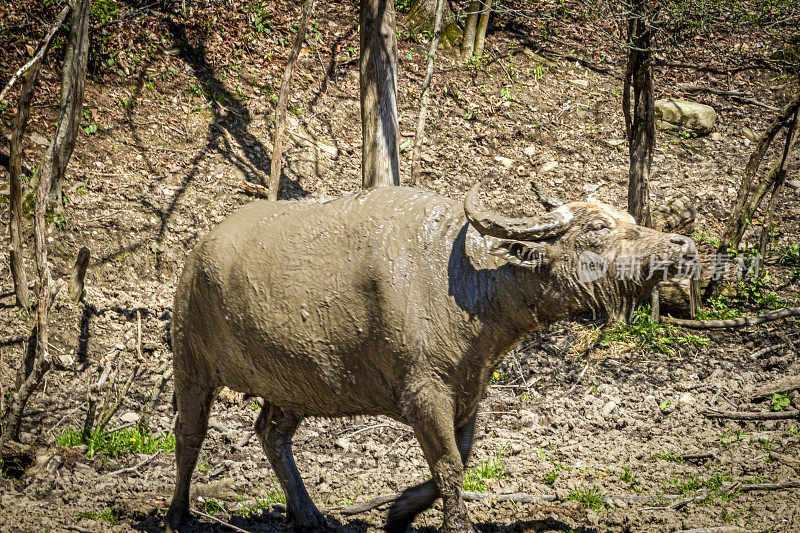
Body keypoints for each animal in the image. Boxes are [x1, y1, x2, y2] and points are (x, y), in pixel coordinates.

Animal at [164, 184, 692, 532]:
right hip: (192, 368)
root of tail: (197, 251)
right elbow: (450, 467)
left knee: (271, 434)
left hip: (292, 386)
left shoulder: (467, 394)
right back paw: (176, 515)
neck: (469, 283)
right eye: (597, 228)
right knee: (188, 437)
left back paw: (309, 515)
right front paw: (456, 526)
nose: (682, 243)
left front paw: (398, 512)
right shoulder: (424, 394)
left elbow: (456, 461)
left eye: (629, 220)